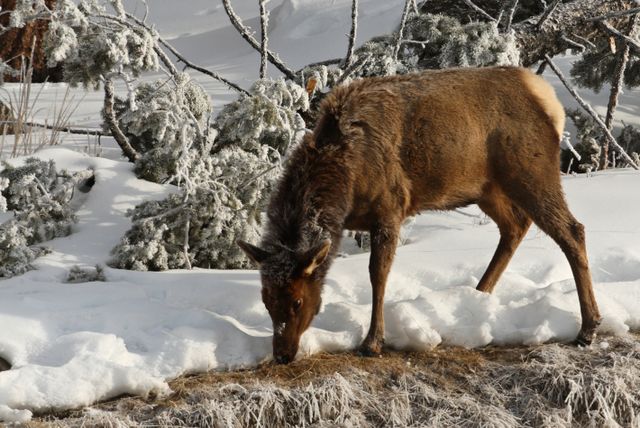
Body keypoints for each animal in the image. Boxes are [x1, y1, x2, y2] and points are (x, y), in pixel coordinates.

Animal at [238, 67, 604, 364]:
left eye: (298, 302)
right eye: (266, 300)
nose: (282, 354)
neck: (346, 183)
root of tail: (550, 101)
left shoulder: (391, 207)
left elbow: (378, 274)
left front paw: (372, 342)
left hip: (531, 171)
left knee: (572, 229)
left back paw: (588, 327)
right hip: (488, 188)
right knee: (515, 226)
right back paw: (478, 295)